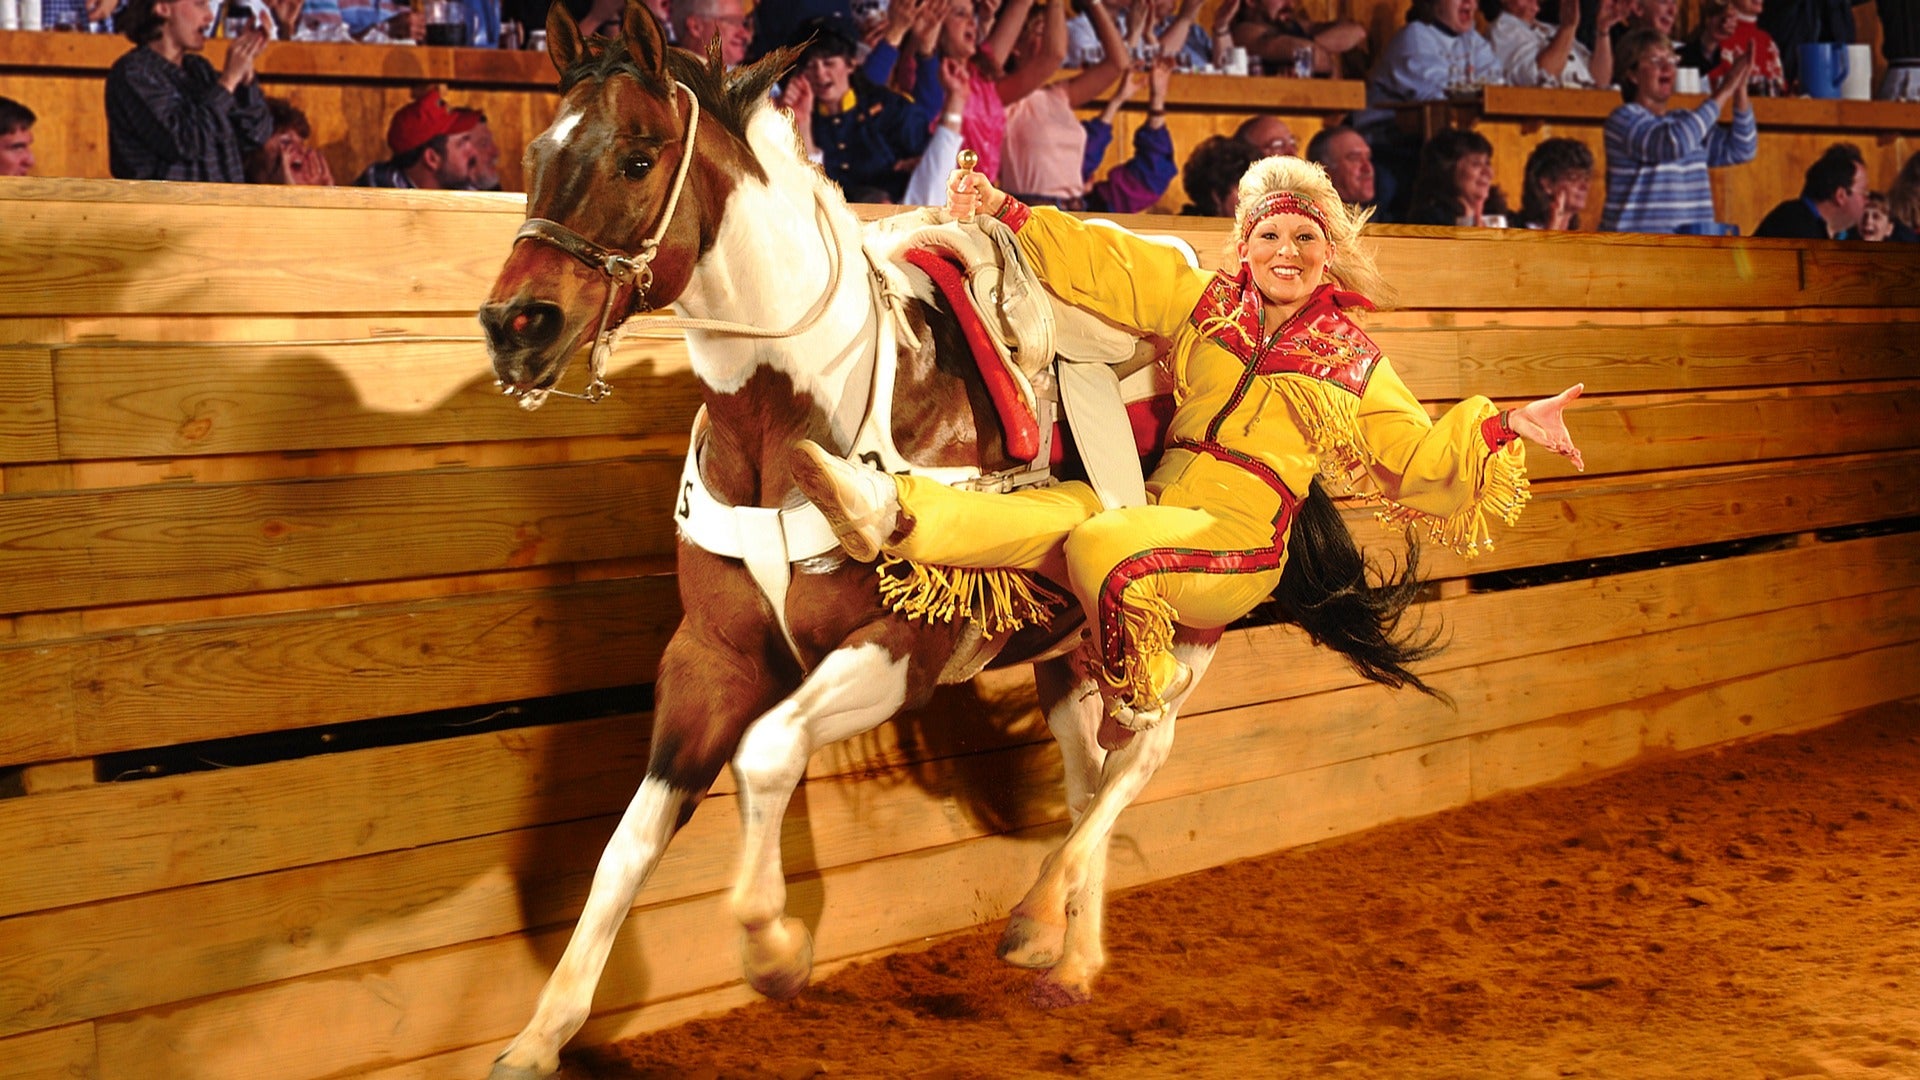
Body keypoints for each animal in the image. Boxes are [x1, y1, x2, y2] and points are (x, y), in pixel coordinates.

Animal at [477, 4, 1220, 1076]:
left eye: (637, 156)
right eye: (537, 151)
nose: (516, 324)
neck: (794, 418)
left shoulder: (900, 651)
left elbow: (765, 755)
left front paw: (774, 949)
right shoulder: (711, 657)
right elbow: (628, 843)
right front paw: (539, 1036)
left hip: (1183, 628)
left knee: (1142, 758)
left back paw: (1036, 921)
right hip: (1069, 649)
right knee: (1090, 782)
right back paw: (1071, 954)